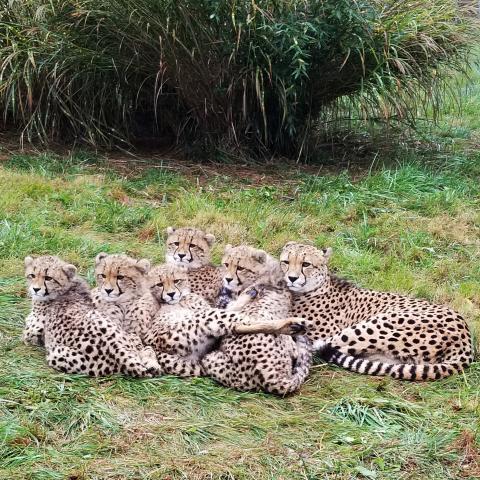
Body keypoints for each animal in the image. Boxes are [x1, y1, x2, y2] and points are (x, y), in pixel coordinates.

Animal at [24, 256, 160, 376]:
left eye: (48, 278)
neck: (66, 288)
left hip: (56, 354)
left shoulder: (30, 332)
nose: (35, 289)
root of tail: (118, 352)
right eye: (32, 275)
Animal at [282, 242, 472, 380]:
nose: (291, 278)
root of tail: (466, 337)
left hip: (376, 325)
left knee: (319, 346)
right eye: (286, 262)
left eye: (306, 264)